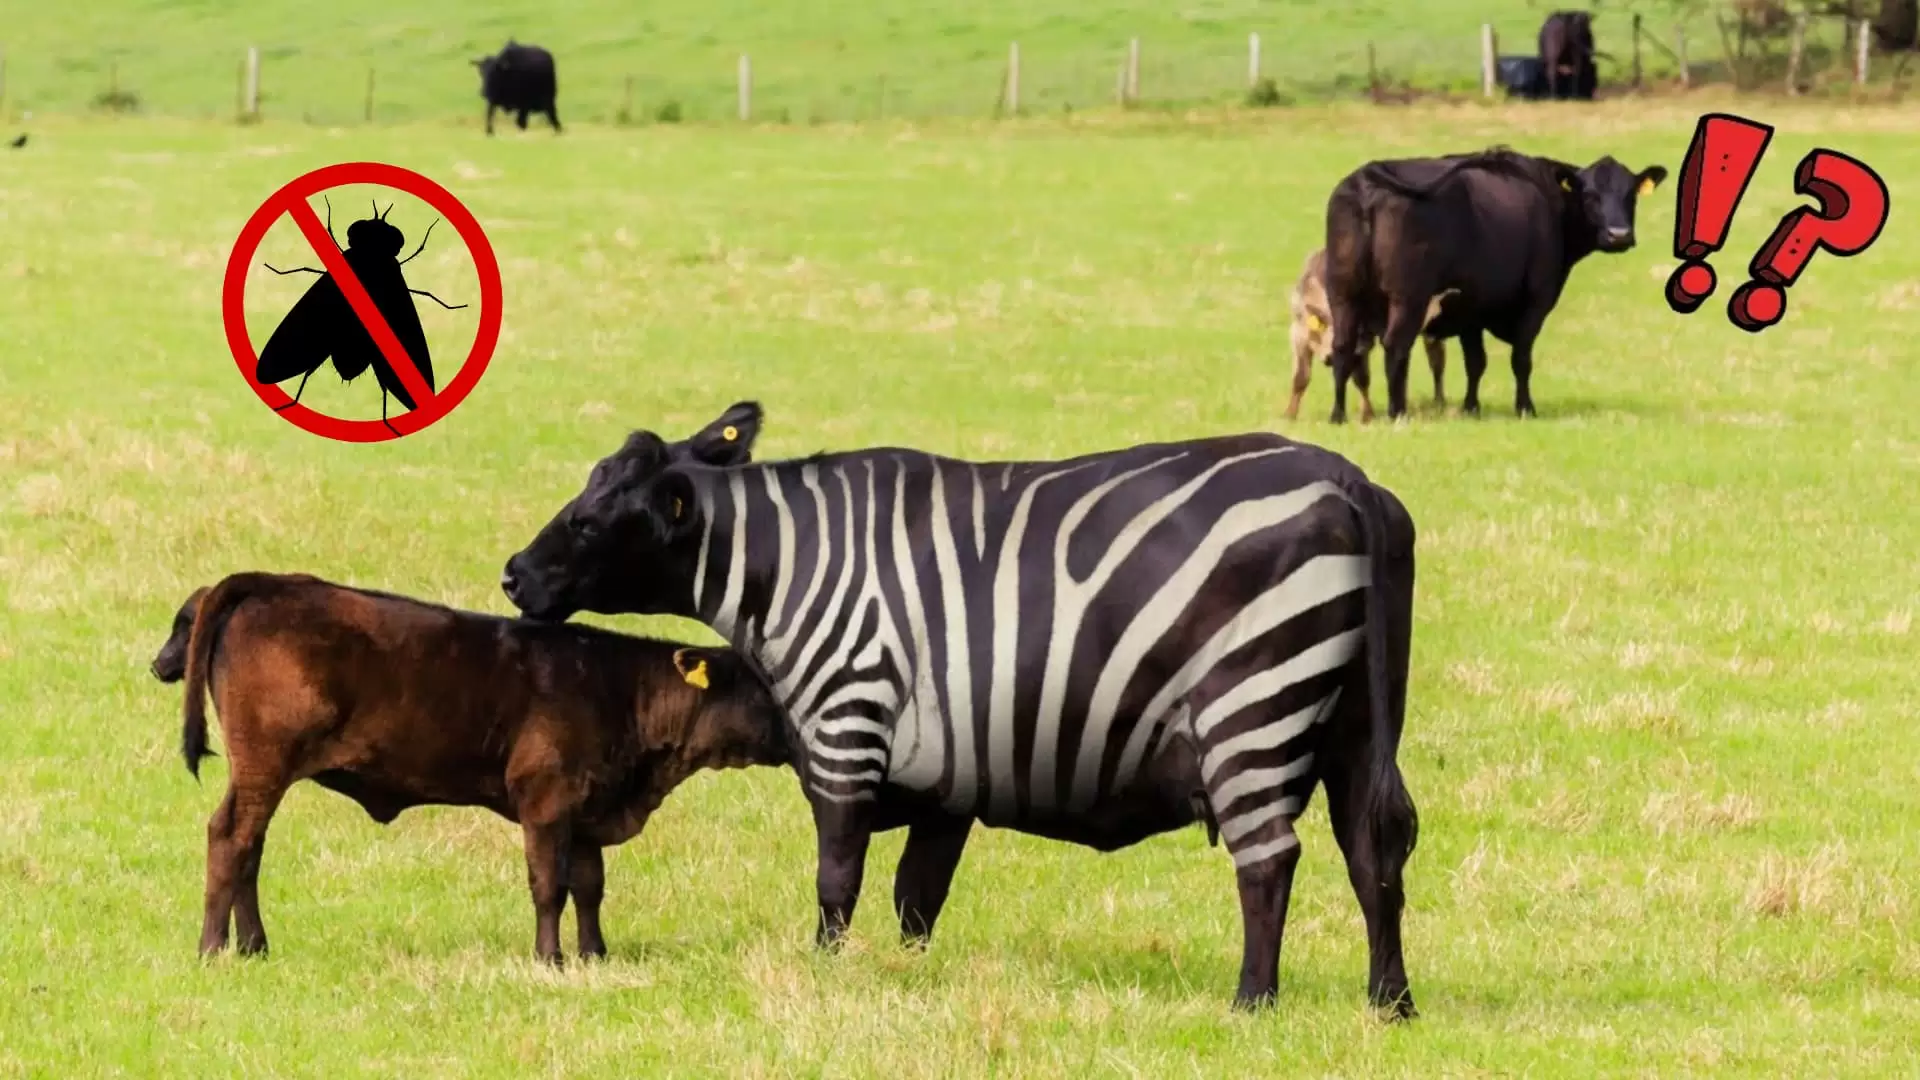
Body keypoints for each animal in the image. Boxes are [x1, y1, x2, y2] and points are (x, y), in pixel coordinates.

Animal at [161, 571, 791, 963]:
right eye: (763, 687)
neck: (621, 693)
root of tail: (274, 583)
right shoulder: (545, 800)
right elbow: (549, 885)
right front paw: (549, 959)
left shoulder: (587, 808)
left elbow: (590, 887)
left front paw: (595, 955)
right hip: (264, 764)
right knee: (231, 836)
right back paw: (213, 948)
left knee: (251, 846)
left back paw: (254, 946)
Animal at [501, 402, 1421, 1015]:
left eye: (587, 525)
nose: (511, 577)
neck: (792, 570)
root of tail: (1351, 481)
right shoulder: (948, 780)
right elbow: (917, 896)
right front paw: (911, 980)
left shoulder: (846, 726)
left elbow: (837, 879)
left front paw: (828, 972)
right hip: (1355, 725)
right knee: (1372, 851)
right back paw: (1389, 1003)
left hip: (1252, 706)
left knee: (1268, 860)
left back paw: (1252, 1001)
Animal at [1286, 246, 1457, 422]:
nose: (1331, 356)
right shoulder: (1298, 334)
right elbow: (1300, 377)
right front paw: (1289, 414)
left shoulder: (1362, 346)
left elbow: (1361, 379)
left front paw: (1367, 415)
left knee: (1437, 364)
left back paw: (1439, 401)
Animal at [1321, 146, 1668, 423]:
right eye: (1589, 195)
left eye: (1631, 195)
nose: (1619, 235)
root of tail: (1366, 180)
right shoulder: (1535, 301)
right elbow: (1521, 359)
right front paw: (1526, 408)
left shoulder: (1470, 308)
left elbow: (1476, 362)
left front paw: (1471, 407)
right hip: (1408, 298)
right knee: (1395, 347)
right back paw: (1398, 413)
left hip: (1342, 294)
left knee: (1342, 348)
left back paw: (1338, 414)